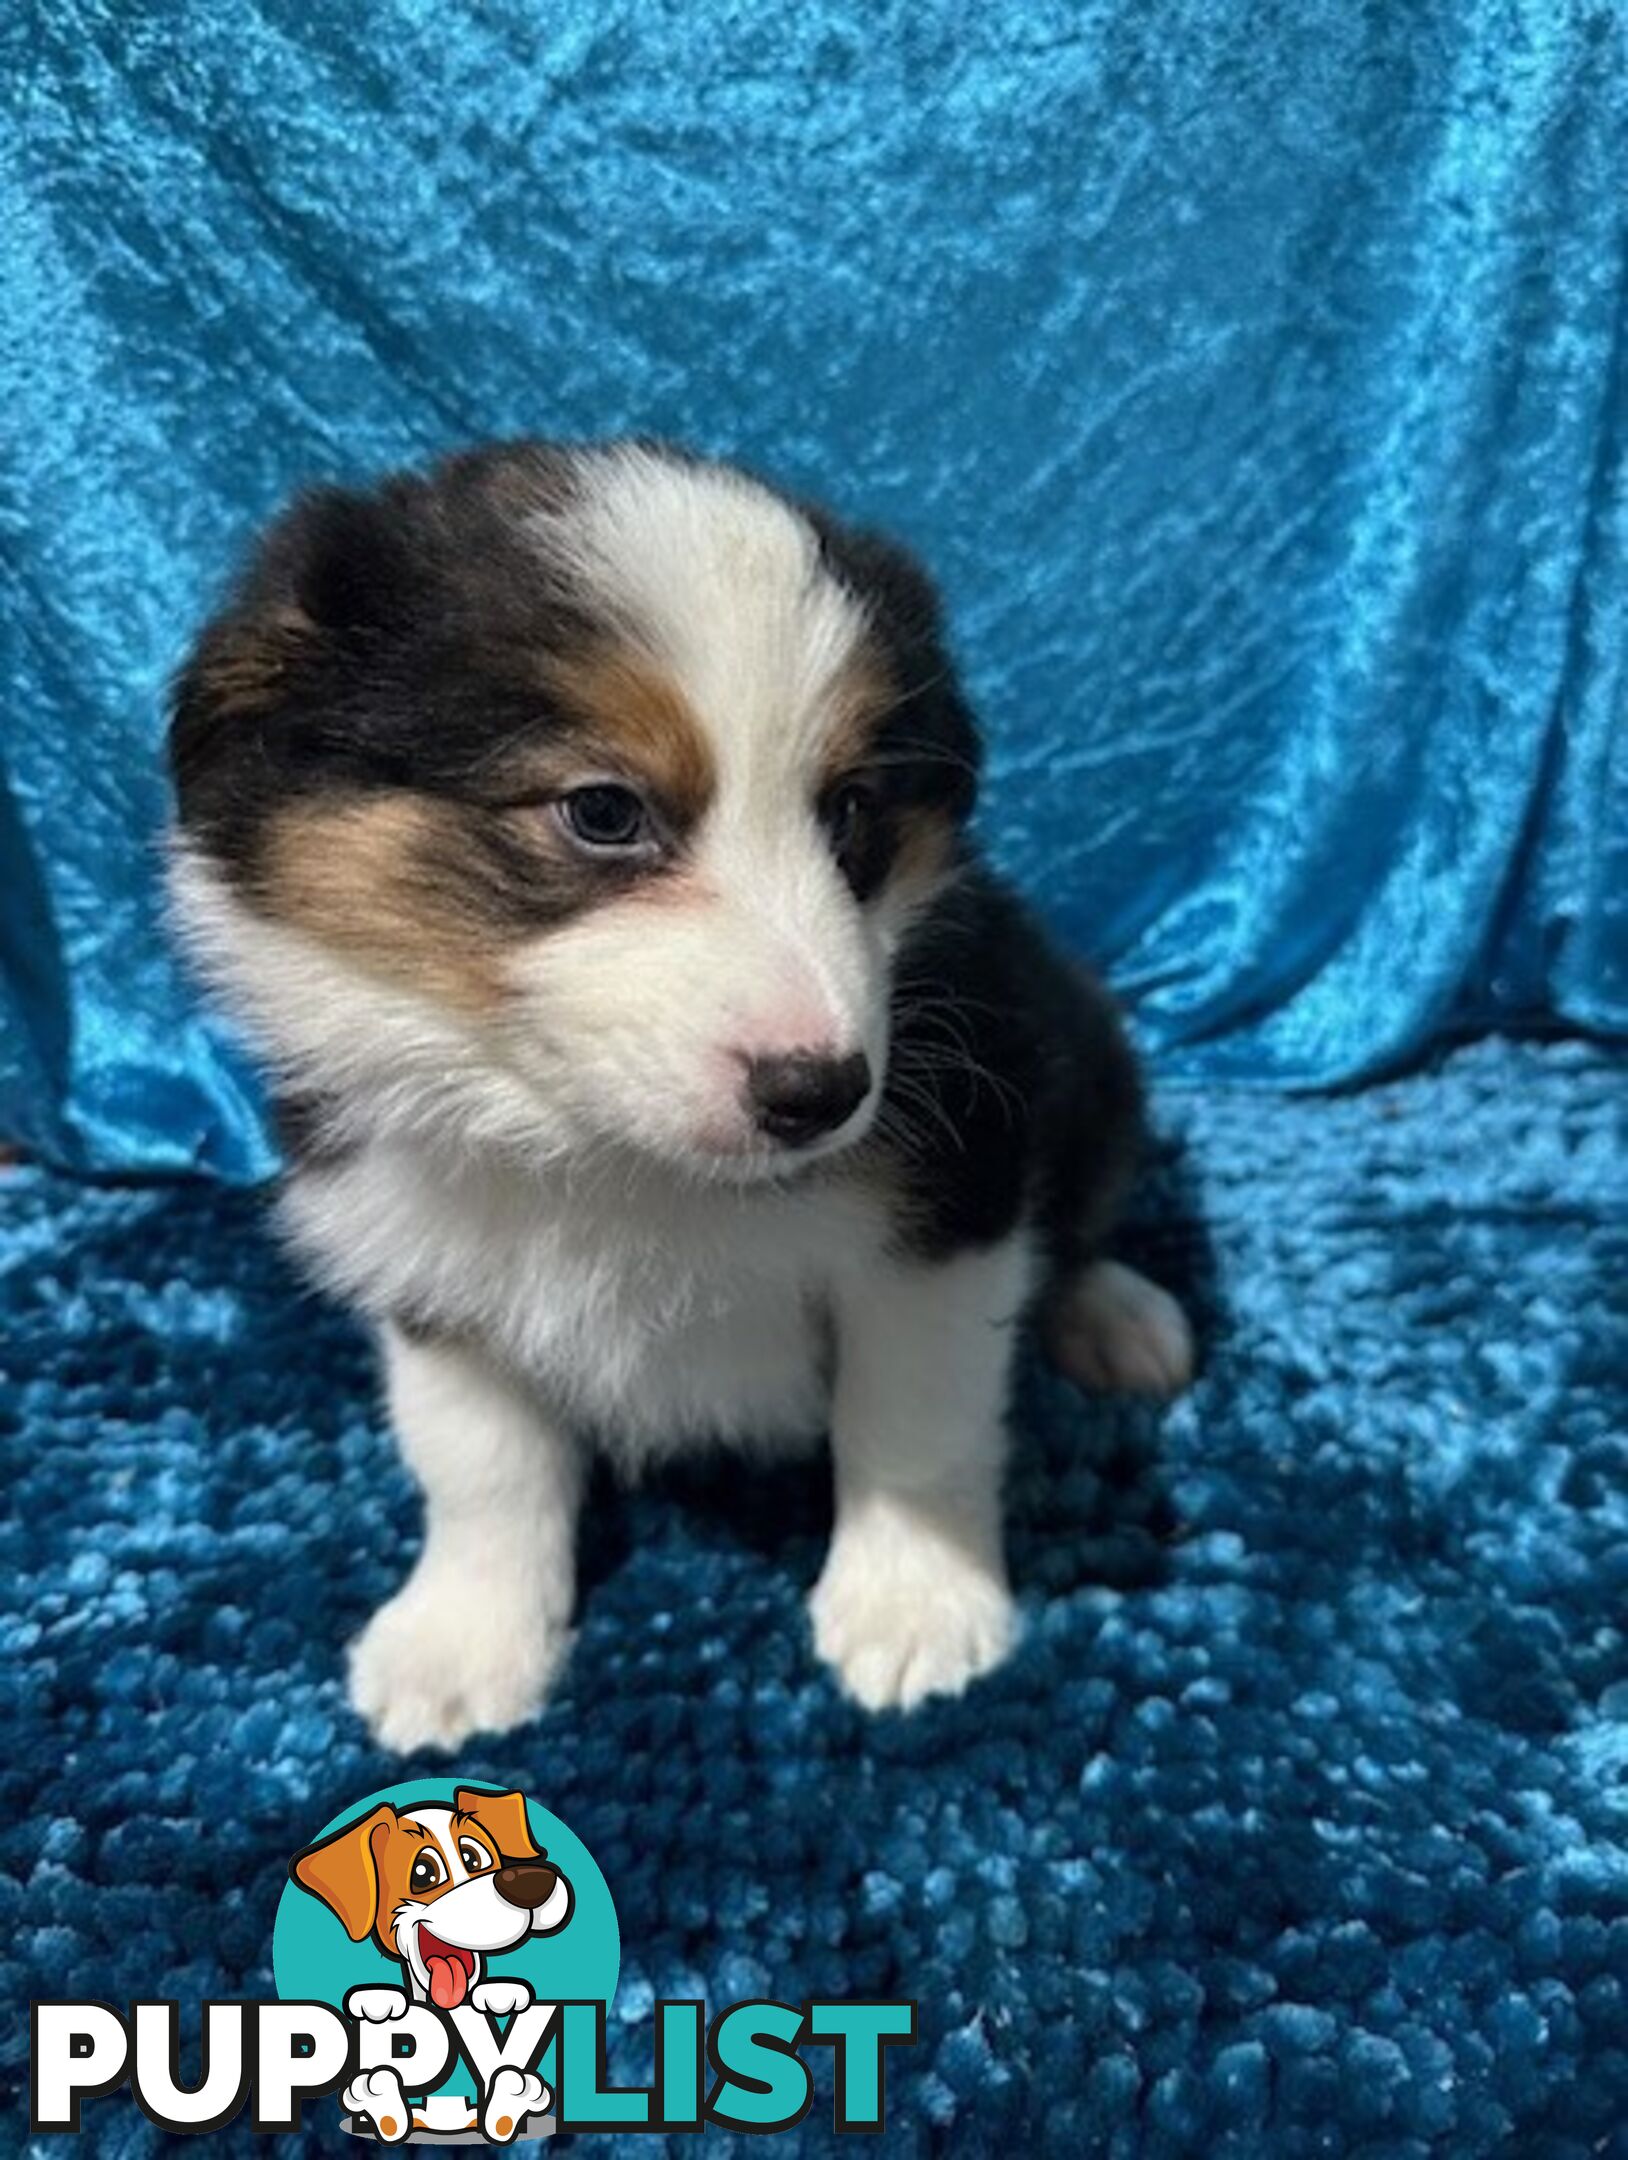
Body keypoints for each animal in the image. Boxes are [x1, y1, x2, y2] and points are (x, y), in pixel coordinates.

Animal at [168, 442, 1191, 1753]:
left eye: (850, 809)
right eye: (602, 810)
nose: (822, 1094)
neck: (611, 1157)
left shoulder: (950, 1203)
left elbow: (913, 1420)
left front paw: (913, 1608)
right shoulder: (421, 1254)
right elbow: (478, 1462)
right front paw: (462, 1644)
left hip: (1087, 1059)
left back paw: (1116, 1316)